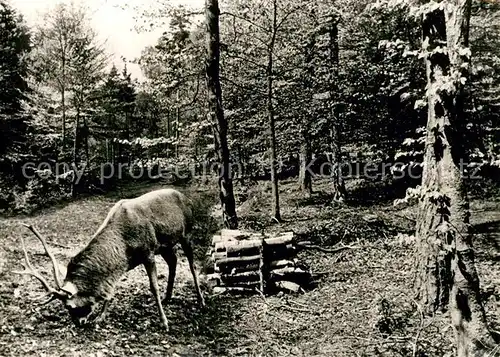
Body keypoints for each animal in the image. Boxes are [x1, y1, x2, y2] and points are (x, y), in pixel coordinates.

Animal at [14, 188, 205, 330]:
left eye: (69, 306)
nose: (78, 323)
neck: (124, 243)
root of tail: (186, 198)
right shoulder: (124, 263)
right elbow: (110, 290)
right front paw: (100, 317)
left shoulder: (148, 251)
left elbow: (153, 287)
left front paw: (164, 322)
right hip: (166, 245)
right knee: (173, 261)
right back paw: (168, 297)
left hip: (187, 233)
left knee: (192, 265)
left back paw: (201, 300)